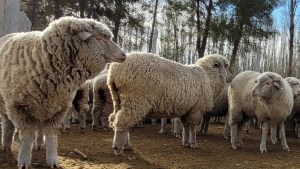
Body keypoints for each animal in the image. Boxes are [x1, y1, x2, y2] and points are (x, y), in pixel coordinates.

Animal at [0, 16, 125, 169]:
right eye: (101, 38)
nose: (124, 55)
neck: (43, 59)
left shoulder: (59, 108)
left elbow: (51, 135)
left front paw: (53, 159)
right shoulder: (19, 107)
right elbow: (27, 135)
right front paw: (24, 160)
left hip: (43, 106)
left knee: (40, 126)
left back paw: (39, 144)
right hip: (6, 103)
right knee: (7, 123)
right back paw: (6, 144)